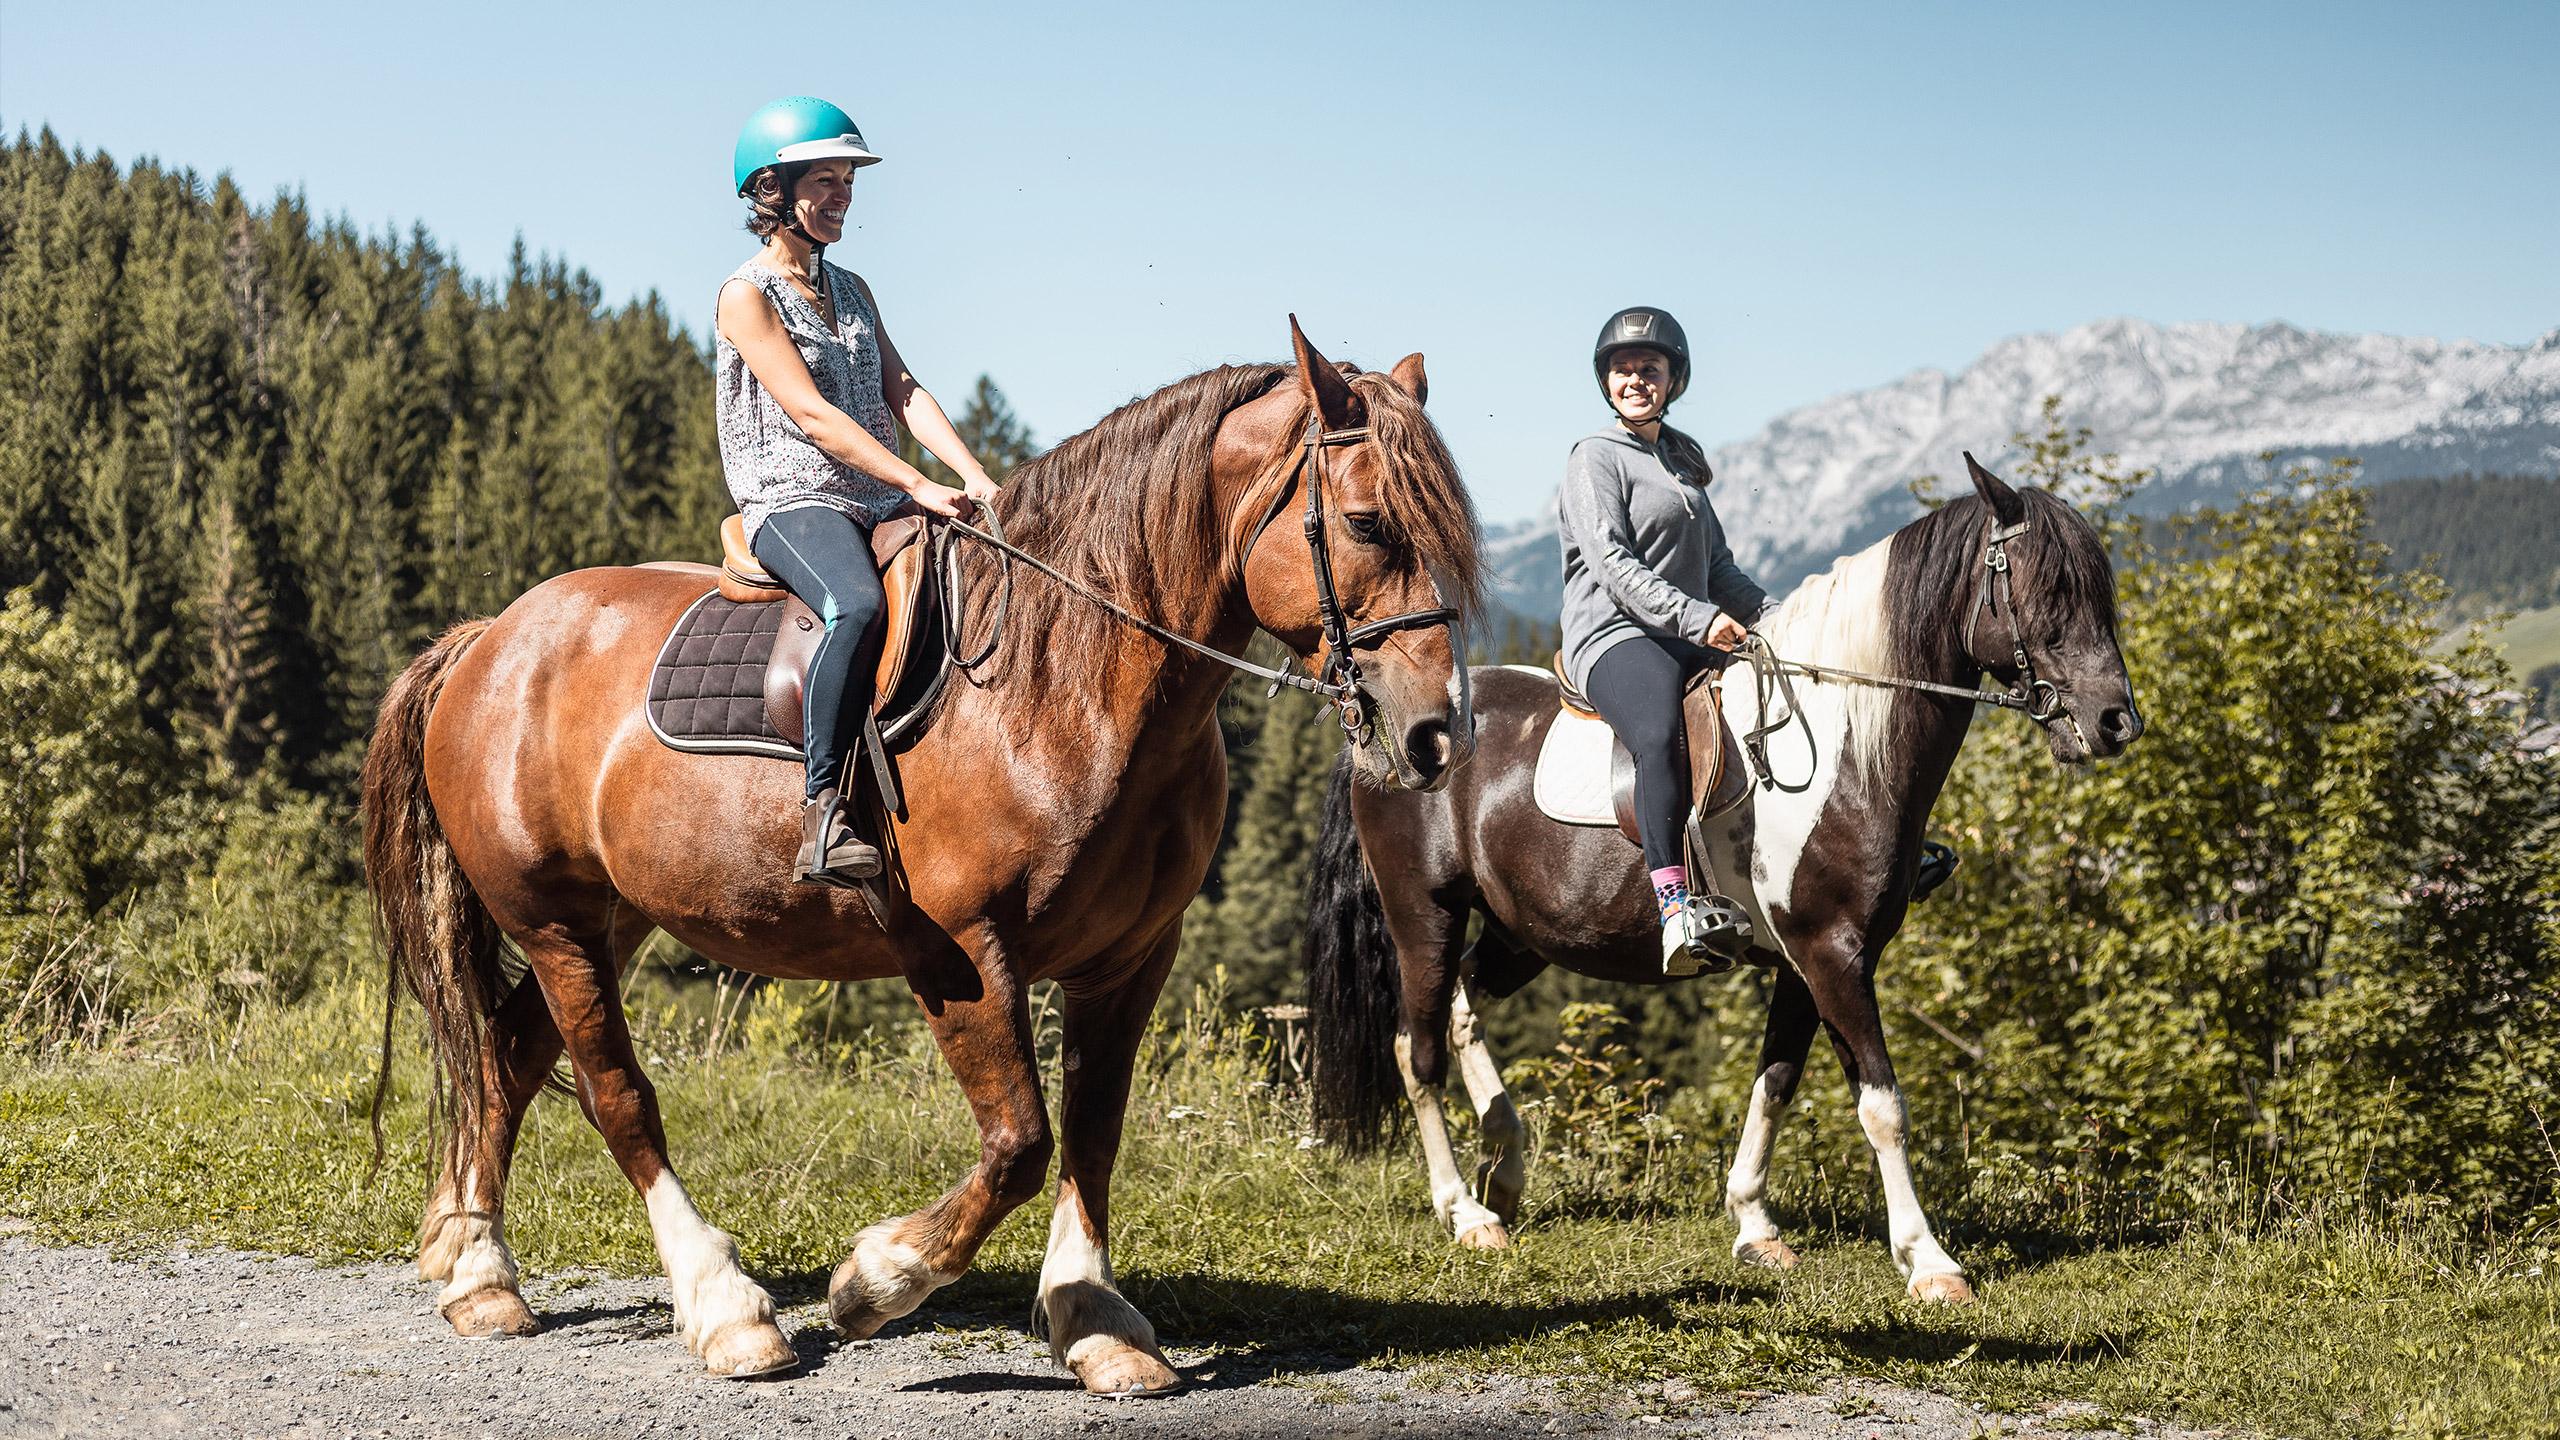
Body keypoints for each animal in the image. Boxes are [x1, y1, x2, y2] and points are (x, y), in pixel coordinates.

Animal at [363, 319, 1484, 1383]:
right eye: (1368, 522)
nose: (1438, 733)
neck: (1058, 678)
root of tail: (491, 640)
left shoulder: (1130, 958)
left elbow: (1093, 1129)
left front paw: (1095, 1321)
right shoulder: (962, 951)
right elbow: (1021, 1143)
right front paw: (877, 1279)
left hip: (611, 920)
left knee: (506, 1058)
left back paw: (477, 1271)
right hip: (553, 923)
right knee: (613, 1096)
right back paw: (724, 1309)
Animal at [1300, 458, 2140, 1301]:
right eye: (2046, 590)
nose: (2116, 724)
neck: (1840, 747)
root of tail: (1393, 729)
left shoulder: (1808, 965)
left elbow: (1776, 1081)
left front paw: (1755, 1226)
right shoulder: (1833, 955)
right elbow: (1882, 1106)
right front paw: (1929, 1261)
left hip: (1521, 936)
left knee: (1463, 1011)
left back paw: (1504, 1169)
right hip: (1425, 915)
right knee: (1418, 1050)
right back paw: (1466, 1212)